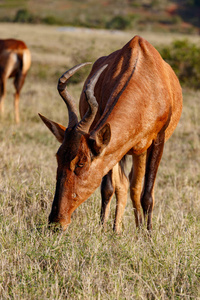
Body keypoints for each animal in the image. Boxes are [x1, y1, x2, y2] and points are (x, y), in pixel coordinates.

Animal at [39, 34, 183, 232]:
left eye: (81, 163)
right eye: (58, 158)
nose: (56, 222)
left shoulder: (157, 141)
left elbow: (147, 195)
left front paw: (148, 233)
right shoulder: (108, 144)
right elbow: (108, 188)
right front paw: (103, 228)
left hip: (140, 150)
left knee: (135, 186)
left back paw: (139, 230)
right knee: (125, 185)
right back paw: (118, 230)